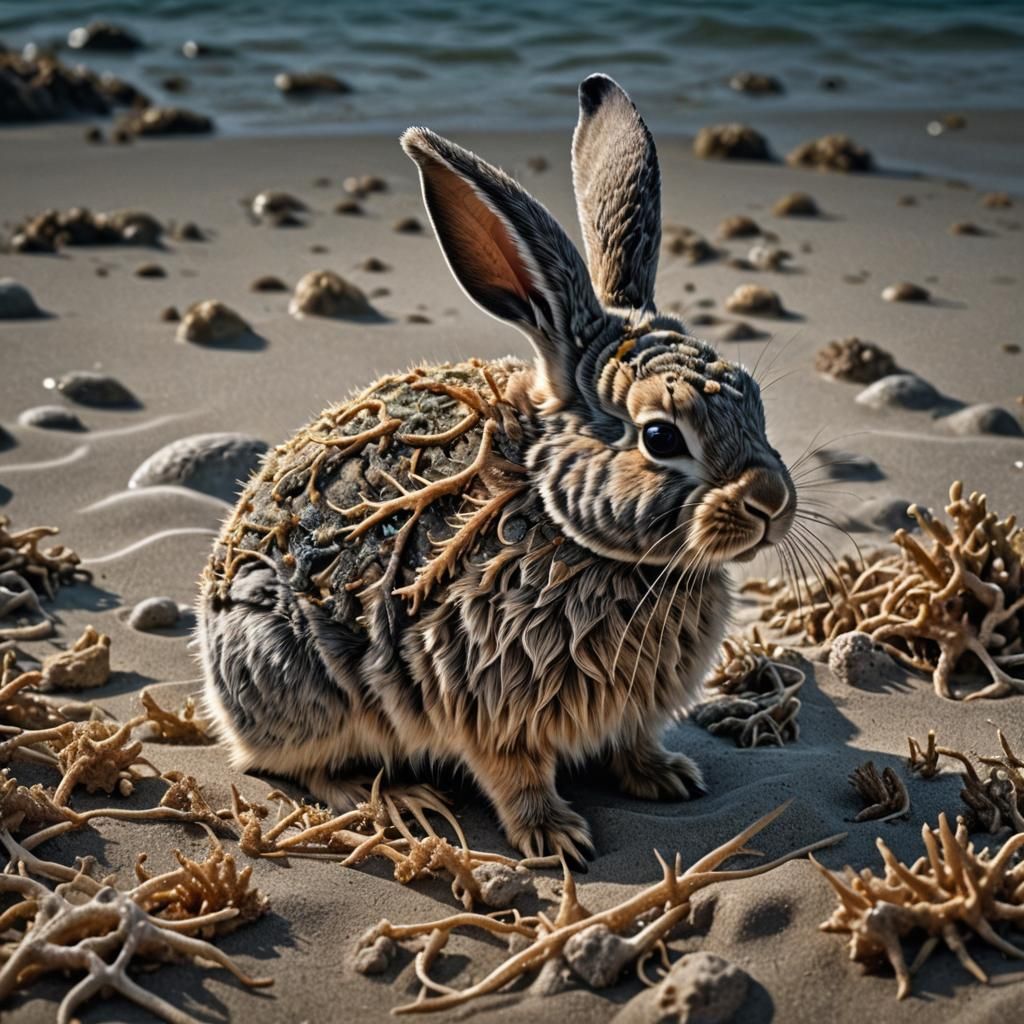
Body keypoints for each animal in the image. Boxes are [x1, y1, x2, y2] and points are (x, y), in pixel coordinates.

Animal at [196, 74, 796, 864]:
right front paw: (556, 837)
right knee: (298, 765)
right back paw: (392, 797)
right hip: (296, 676)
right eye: (661, 437)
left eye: (756, 401)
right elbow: (514, 774)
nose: (771, 500)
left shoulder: (626, 712)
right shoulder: (484, 698)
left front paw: (668, 775)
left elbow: (633, 743)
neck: (562, 517)